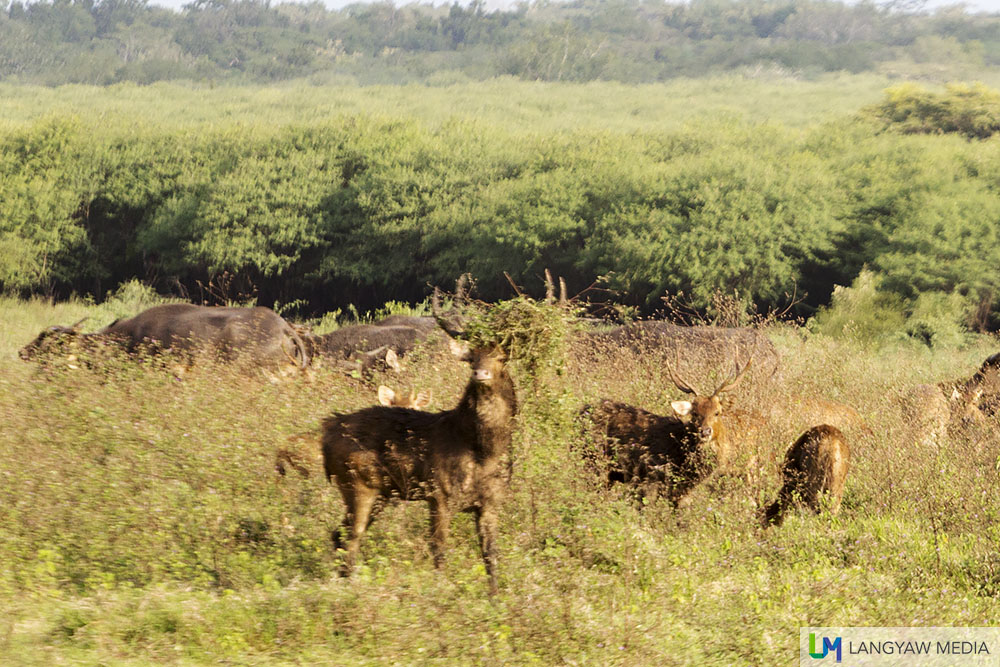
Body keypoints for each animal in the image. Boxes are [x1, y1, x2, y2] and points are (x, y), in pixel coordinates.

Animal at [320, 282, 520, 596]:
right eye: (472, 358)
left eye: (501, 357)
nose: (481, 373)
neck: (483, 451)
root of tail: (324, 434)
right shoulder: (438, 493)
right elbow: (439, 549)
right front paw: (441, 592)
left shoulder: (492, 500)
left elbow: (491, 553)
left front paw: (495, 597)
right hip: (357, 483)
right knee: (351, 536)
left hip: (380, 492)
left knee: (339, 534)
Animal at [584, 350, 752, 506]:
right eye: (695, 413)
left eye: (717, 412)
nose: (705, 431)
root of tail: (582, 411)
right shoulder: (653, 478)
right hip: (595, 463)